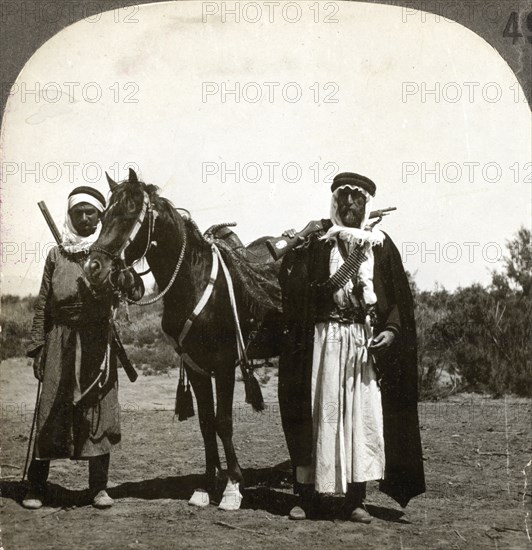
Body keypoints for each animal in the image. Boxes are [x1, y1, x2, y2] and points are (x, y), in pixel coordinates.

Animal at [84, 169, 282, 512]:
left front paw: (232, 487)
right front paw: (206, 487)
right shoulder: (195, 366)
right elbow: (205, 423)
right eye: (103, 217)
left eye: (129, 215)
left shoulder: (225, 365)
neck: (194, 280)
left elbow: (224, 421)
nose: (94, 268)